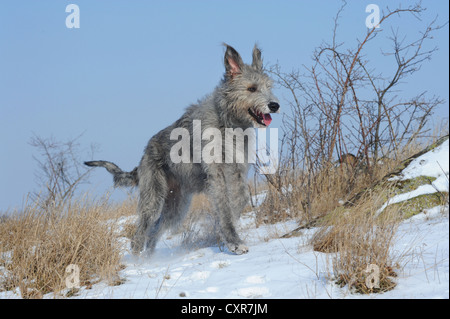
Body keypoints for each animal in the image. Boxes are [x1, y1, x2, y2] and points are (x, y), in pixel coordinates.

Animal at [85, 43, 278, 256]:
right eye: (252, 88)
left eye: (268, 87)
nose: (274, 105)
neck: (227, 121)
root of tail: (142, 157)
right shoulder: (216, 173)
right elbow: (225, 206)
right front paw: (233, 241)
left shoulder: (236, 170)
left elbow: (240, 198)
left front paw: (224, 233)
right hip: (153, 198)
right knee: (140, 234)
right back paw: (137, 260)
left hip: (176, 204)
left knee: (154, 231)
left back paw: (149, 259)